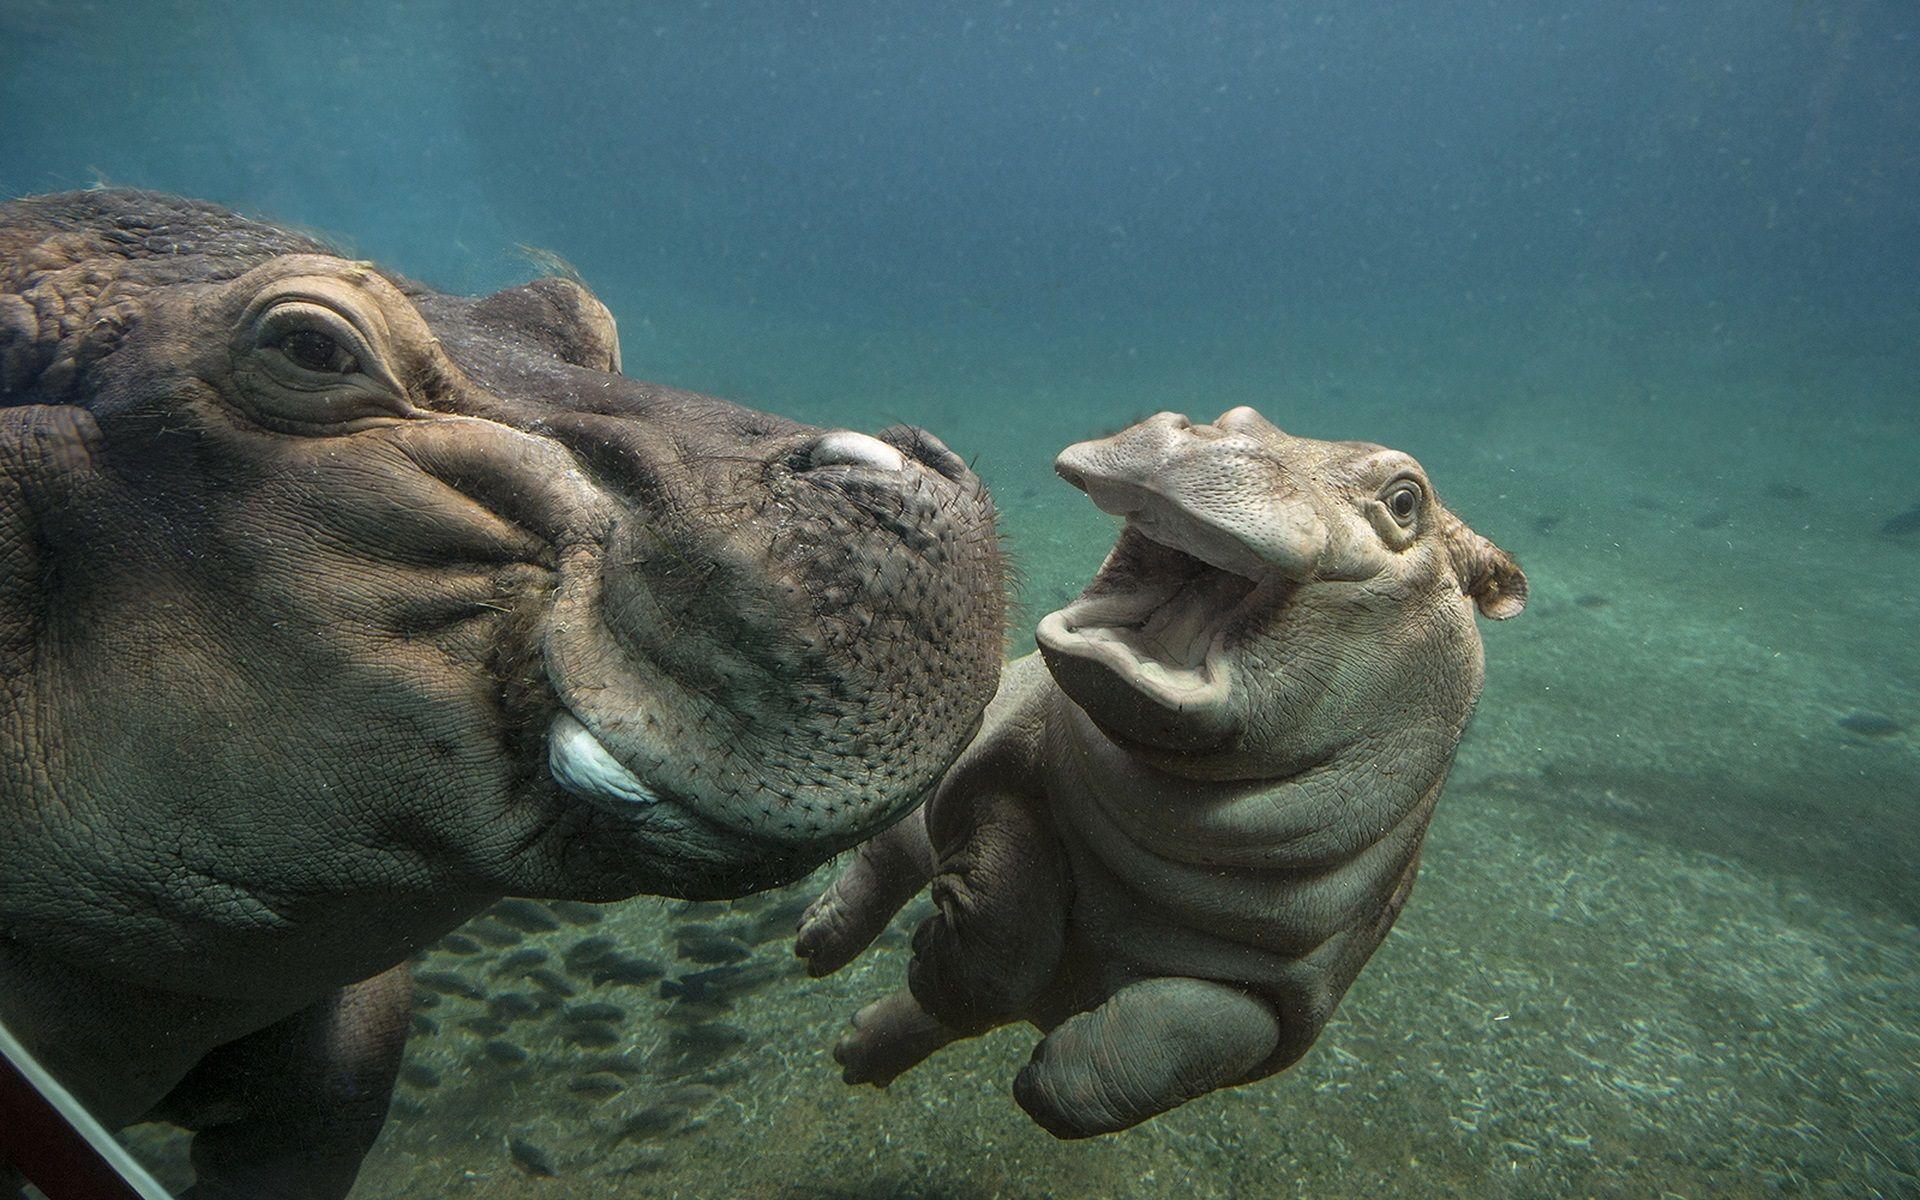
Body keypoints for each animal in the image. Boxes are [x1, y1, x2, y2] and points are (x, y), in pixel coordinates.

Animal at [797, 407, 1524, 1138]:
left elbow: (1187, 1038)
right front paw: (932, 954)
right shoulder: (1002, 770)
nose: (1208, 433)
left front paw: (1036, 1074)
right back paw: (818, 945)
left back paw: (855, 1049)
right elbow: (1006, 926)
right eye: (1239, 415)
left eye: (1405, 500)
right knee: (892, 852)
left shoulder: (1292, 999)